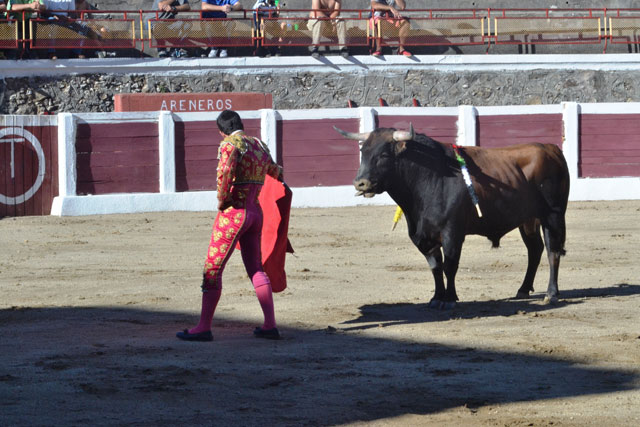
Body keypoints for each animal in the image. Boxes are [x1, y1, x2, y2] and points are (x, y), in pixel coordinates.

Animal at [336, 125, 568, 310]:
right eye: (363, 152)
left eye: (384, 155)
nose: (360, 183)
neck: (427, 179)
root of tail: (551, 148)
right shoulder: (423, 235)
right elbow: (435, 267)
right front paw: (437, 298)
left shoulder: (452, 233)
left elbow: (450, 265)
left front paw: (450, 299)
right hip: (528, 220)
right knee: (535, 250)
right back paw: (523, 289)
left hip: (553, 215)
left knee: (552, 251)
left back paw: (551, 294)